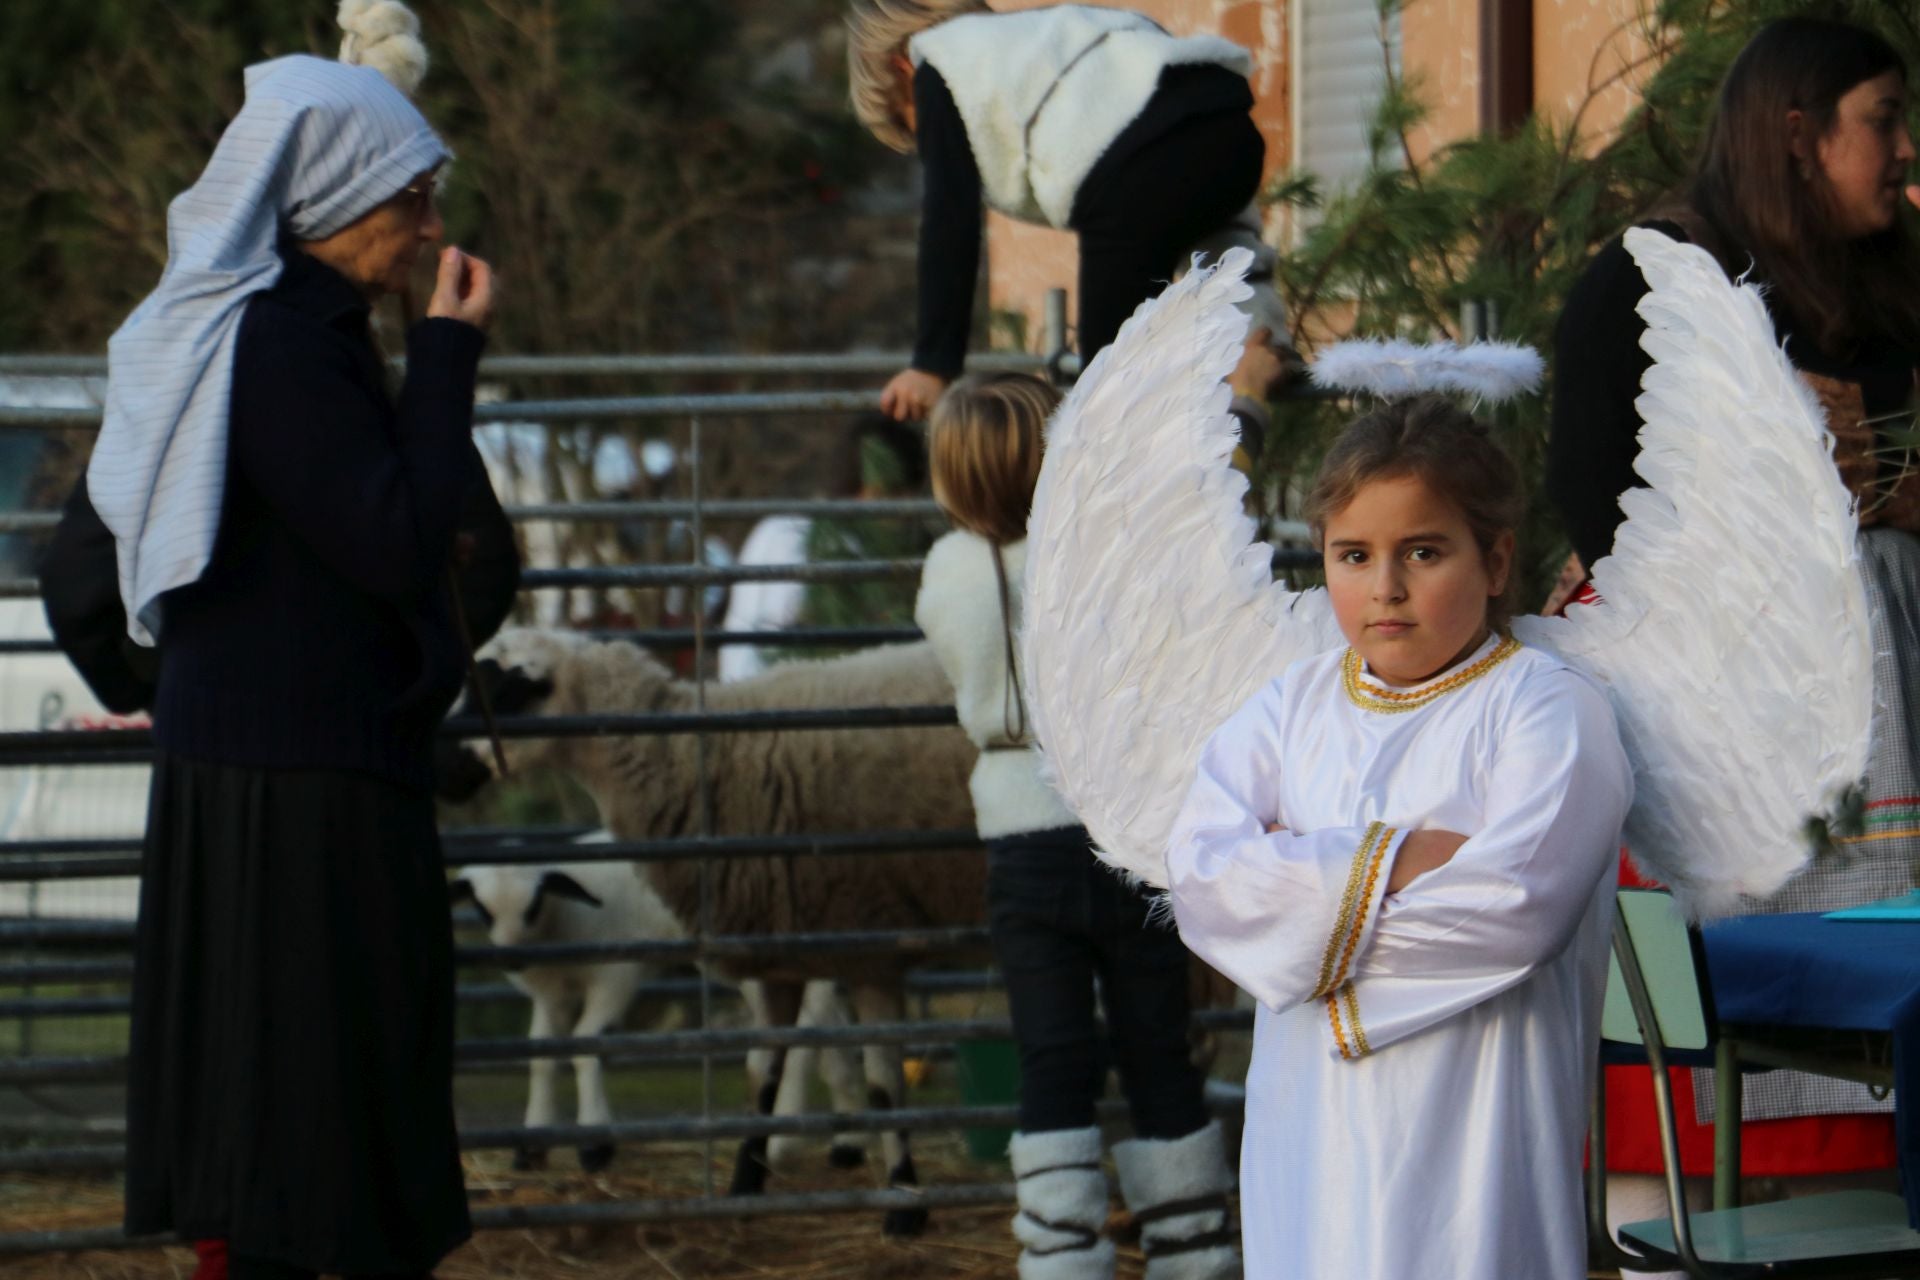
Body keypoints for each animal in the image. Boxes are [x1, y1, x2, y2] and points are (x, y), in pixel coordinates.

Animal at [445, 844, 867, 1174]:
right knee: (830, 1029)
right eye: (481, 909)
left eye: (533, 905)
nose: (512, 960)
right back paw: (846, 1143)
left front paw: (595, 1146)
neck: (567, 919)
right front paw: (531, 1147)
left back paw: (781, 1144)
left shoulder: (614, 977)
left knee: (803, 1030)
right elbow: (541, 1058)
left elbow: (586, 1044)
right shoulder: (553, 995)